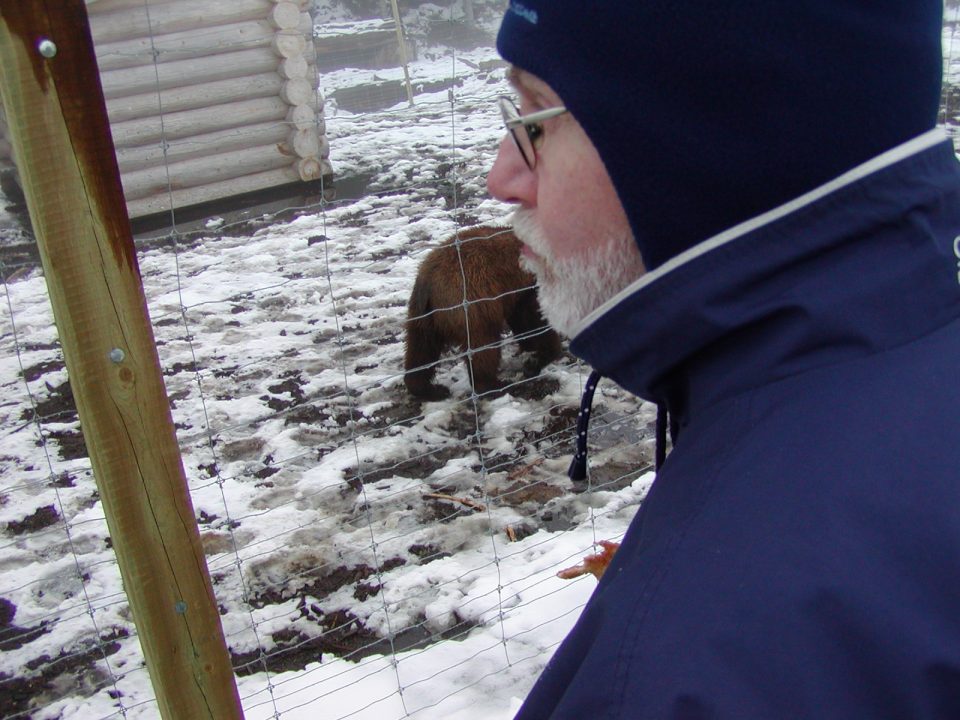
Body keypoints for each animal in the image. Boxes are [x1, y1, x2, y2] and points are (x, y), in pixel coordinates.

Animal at [402, 225, 560, 400]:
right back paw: (494, 385)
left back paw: (430, 388)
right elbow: (537, 319)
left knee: (421, 348)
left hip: (422, 314)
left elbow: (523, 320)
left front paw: (530, 350)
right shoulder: (528, 287)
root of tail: (429, 280)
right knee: (483, 344)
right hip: (473, 299)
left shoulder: (515, 293)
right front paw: (539, 359)